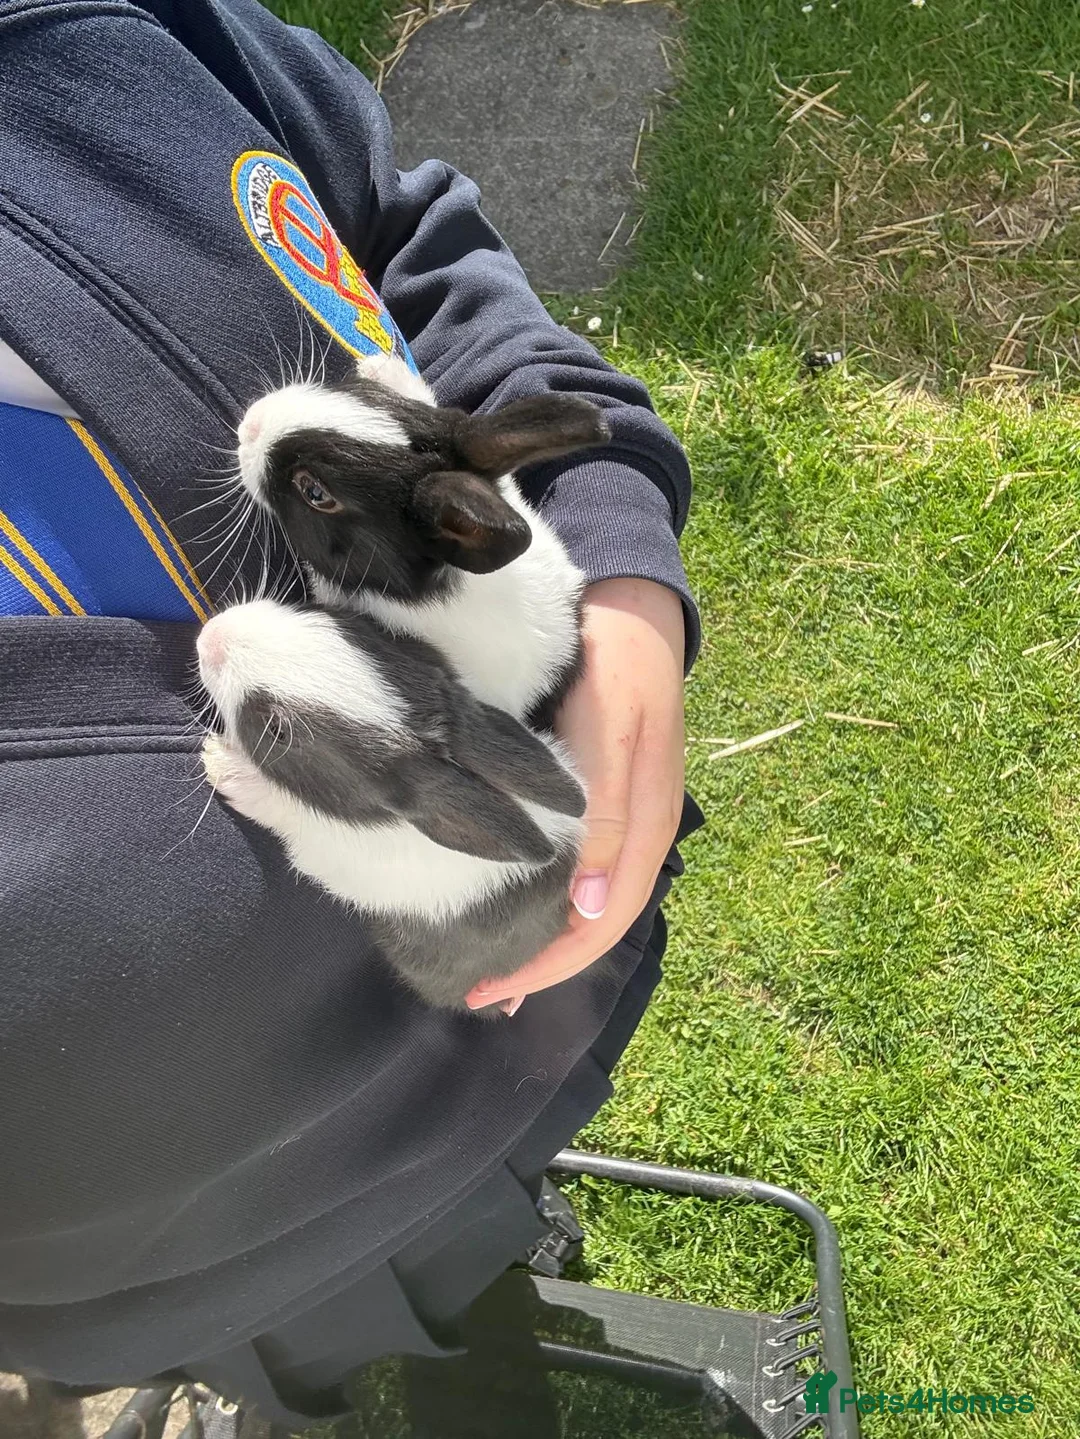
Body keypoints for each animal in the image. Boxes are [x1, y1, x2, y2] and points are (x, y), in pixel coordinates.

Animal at [197, 599, 587, 1010]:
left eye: (278, 731)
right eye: (349, 624)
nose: (212, 636)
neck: (385, 823)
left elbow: (286, 808)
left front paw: (223, 765)